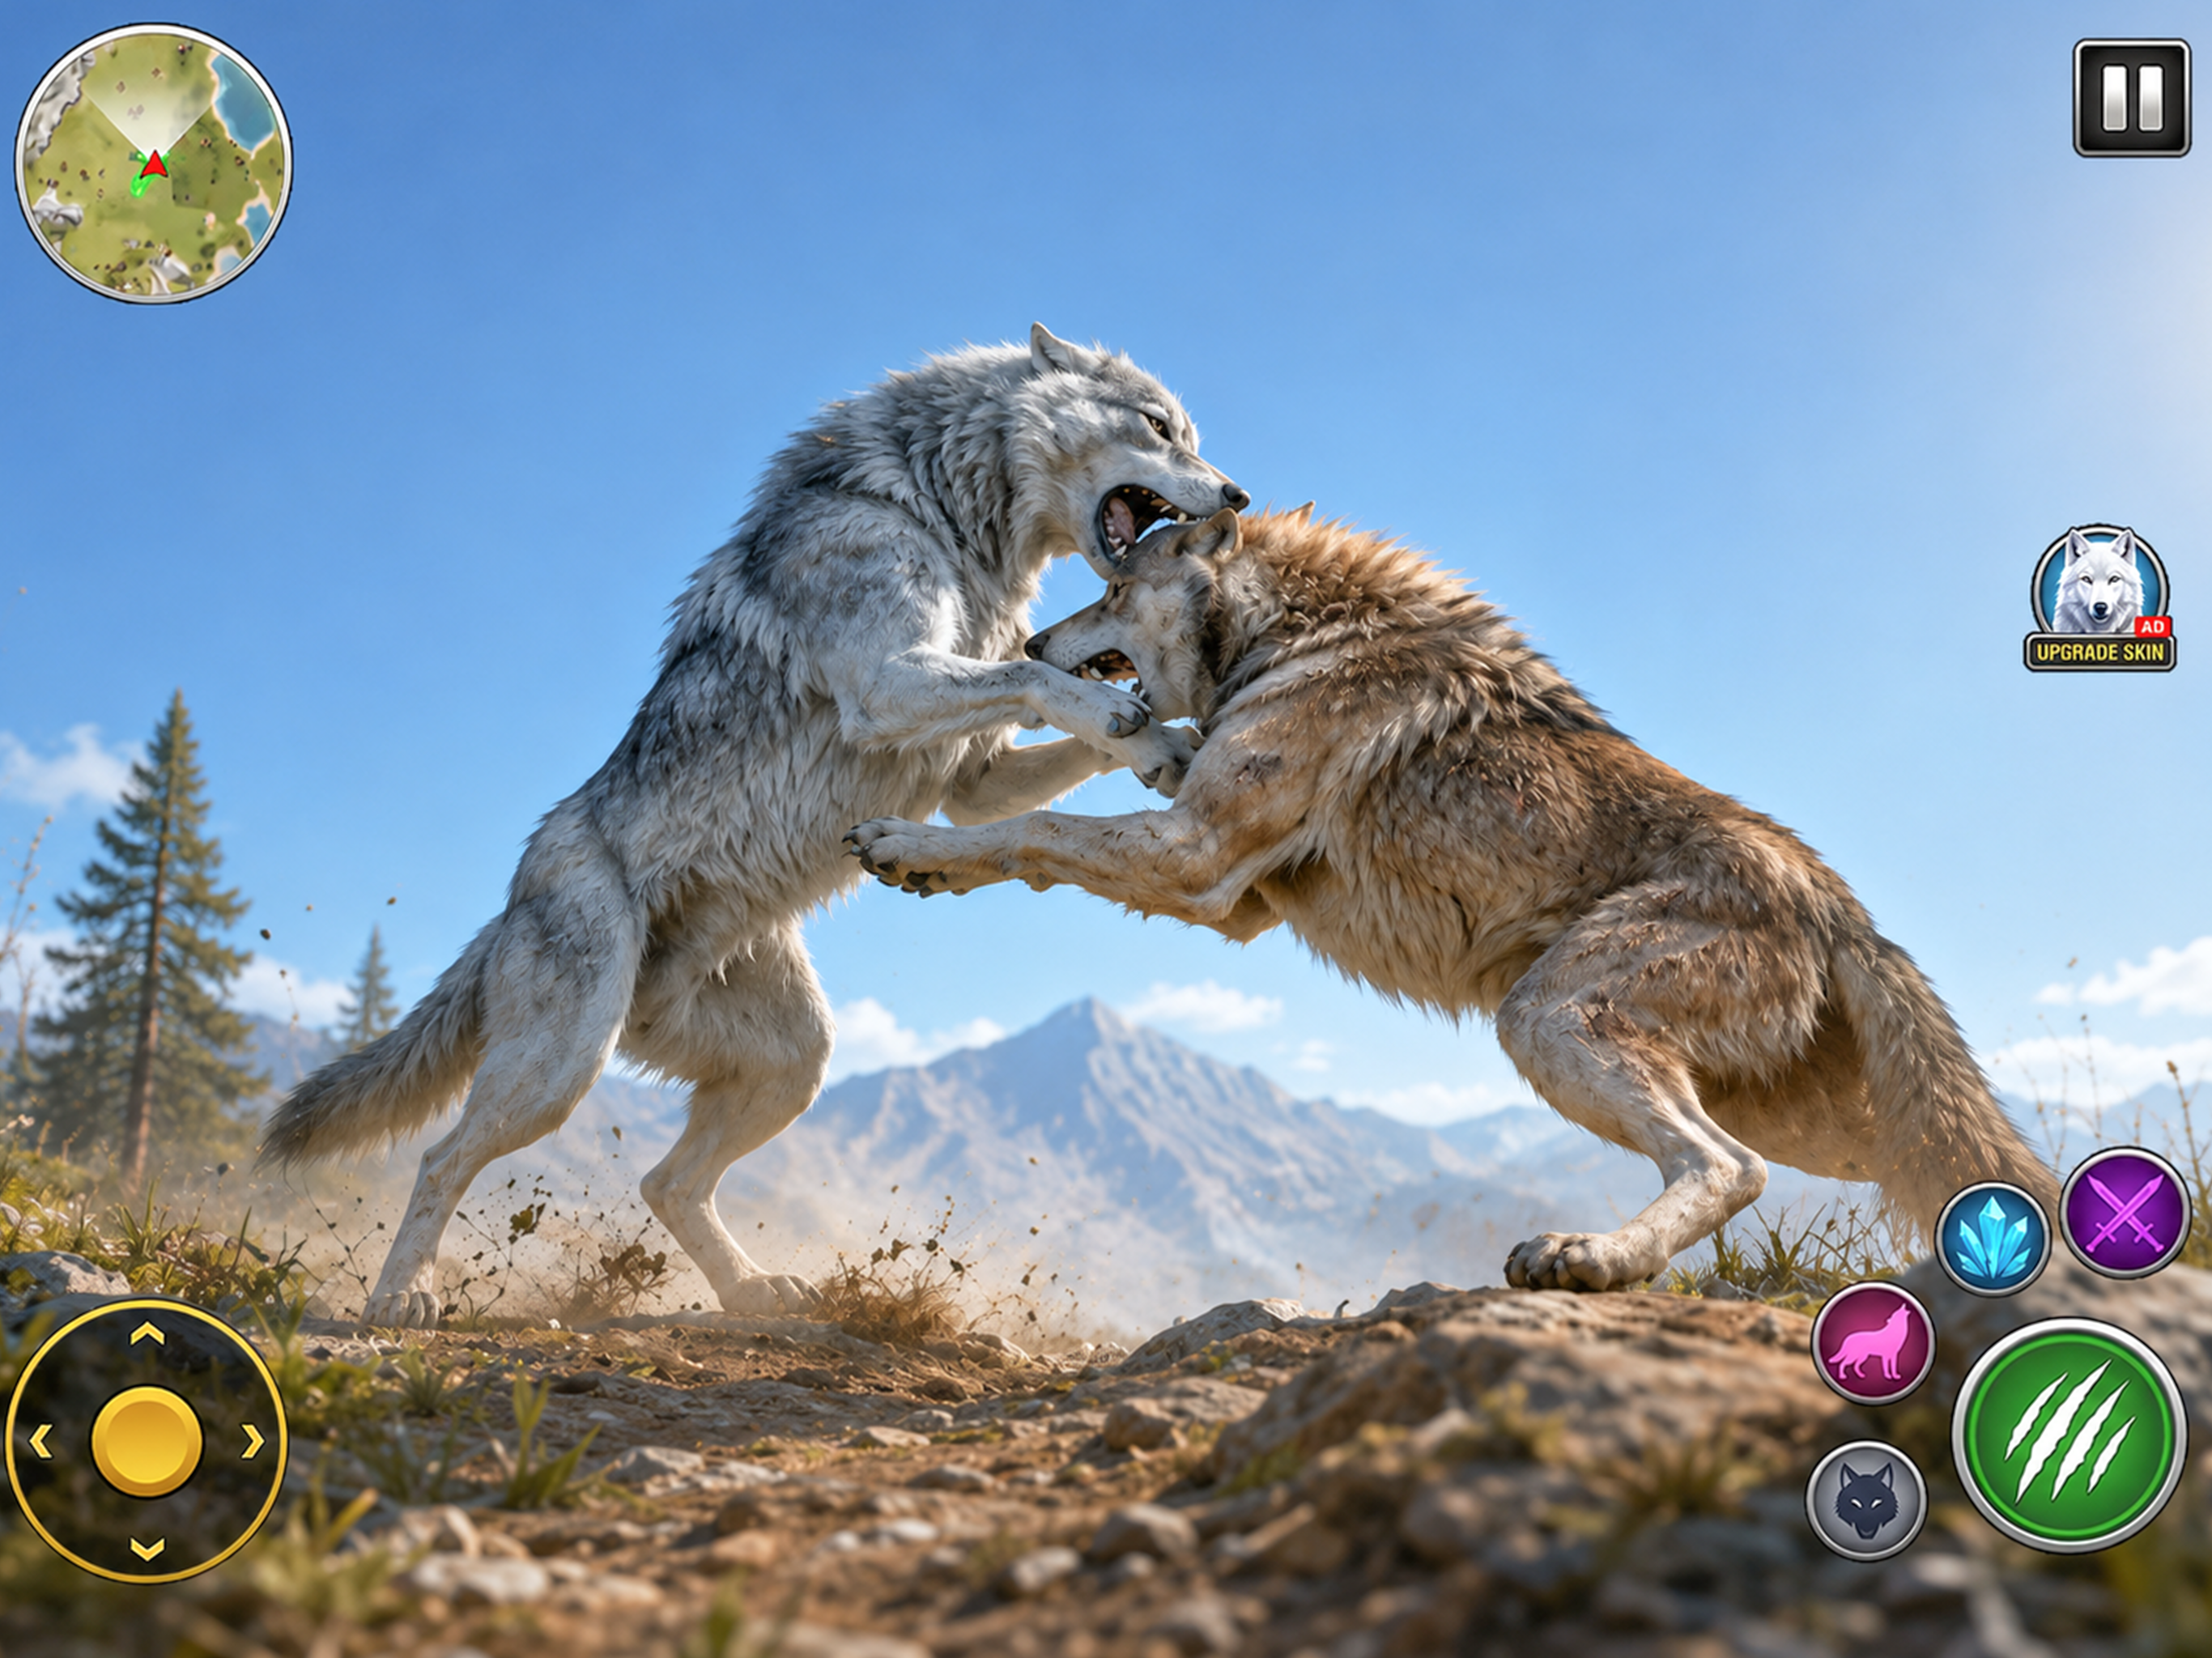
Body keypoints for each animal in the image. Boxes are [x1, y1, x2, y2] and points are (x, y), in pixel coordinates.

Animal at [260, 326, 1248, 1329]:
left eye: (1189, 434)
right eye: (1158, 427)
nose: (1239, 495)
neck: (937, 510)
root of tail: (505, 910)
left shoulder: (968, 781)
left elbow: (1052, 722)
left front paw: (1170, 743)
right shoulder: (889, 684)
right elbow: (1036, 675)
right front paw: (1130, 719)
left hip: (792, 1061)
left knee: (665, 1182)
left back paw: (753, 1290)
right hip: (561, 1069)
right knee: (440, 1157)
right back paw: (402, 1296)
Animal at [846, 507, 2058, 1291]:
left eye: (1104, 590)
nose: (1028, 644)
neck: (1295, 633)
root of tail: (1841, 905)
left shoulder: (1196, 858)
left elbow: (1035, 832)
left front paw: (910, 846)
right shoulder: (1234, 897)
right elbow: (1102, 794)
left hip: (1551, 1020)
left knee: (1722, 1166)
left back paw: (1587, 1259)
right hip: (1829, 1123)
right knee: (1962, 1175)